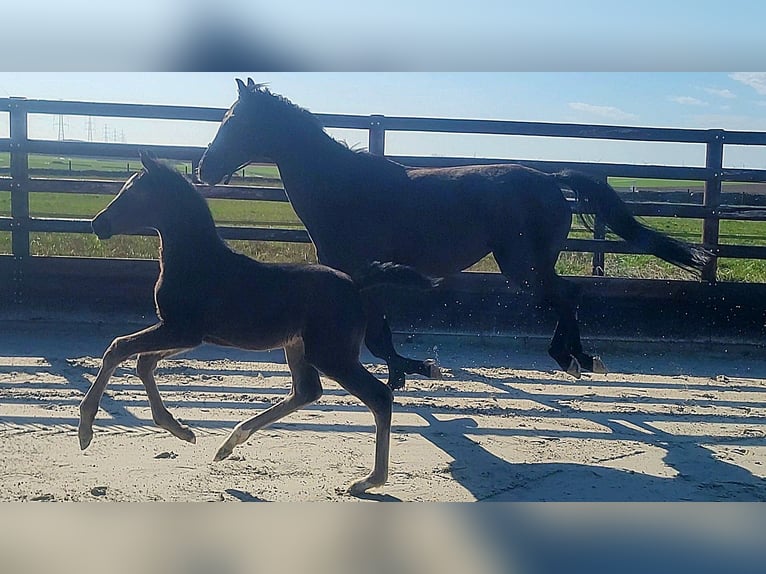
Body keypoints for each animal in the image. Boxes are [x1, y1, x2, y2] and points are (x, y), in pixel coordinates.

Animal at [78, 151, 438, 495]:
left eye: (133, 192)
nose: (98, 223)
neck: (197, 260)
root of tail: (355, 283)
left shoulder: (181, 329)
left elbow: (118, 348)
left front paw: (85, 428)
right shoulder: (188, 334)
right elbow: (143, 362)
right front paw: (180, 430)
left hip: (331, 355)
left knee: (378, 397)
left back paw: (368, 481)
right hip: (298, 346)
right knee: (307, 390)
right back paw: (229, 443)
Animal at [197, 78, 713, 384]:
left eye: (235, 121)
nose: (204, 168)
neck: (343, 187)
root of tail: (550, 179)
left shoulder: (366, 272)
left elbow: (378, 336)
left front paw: (417, 367)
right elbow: (380, 334)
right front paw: (409, 370)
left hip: (522, 266)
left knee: (567, 295)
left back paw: (576, 358)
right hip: (531, 264)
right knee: (568, 295)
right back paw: (574, 357)